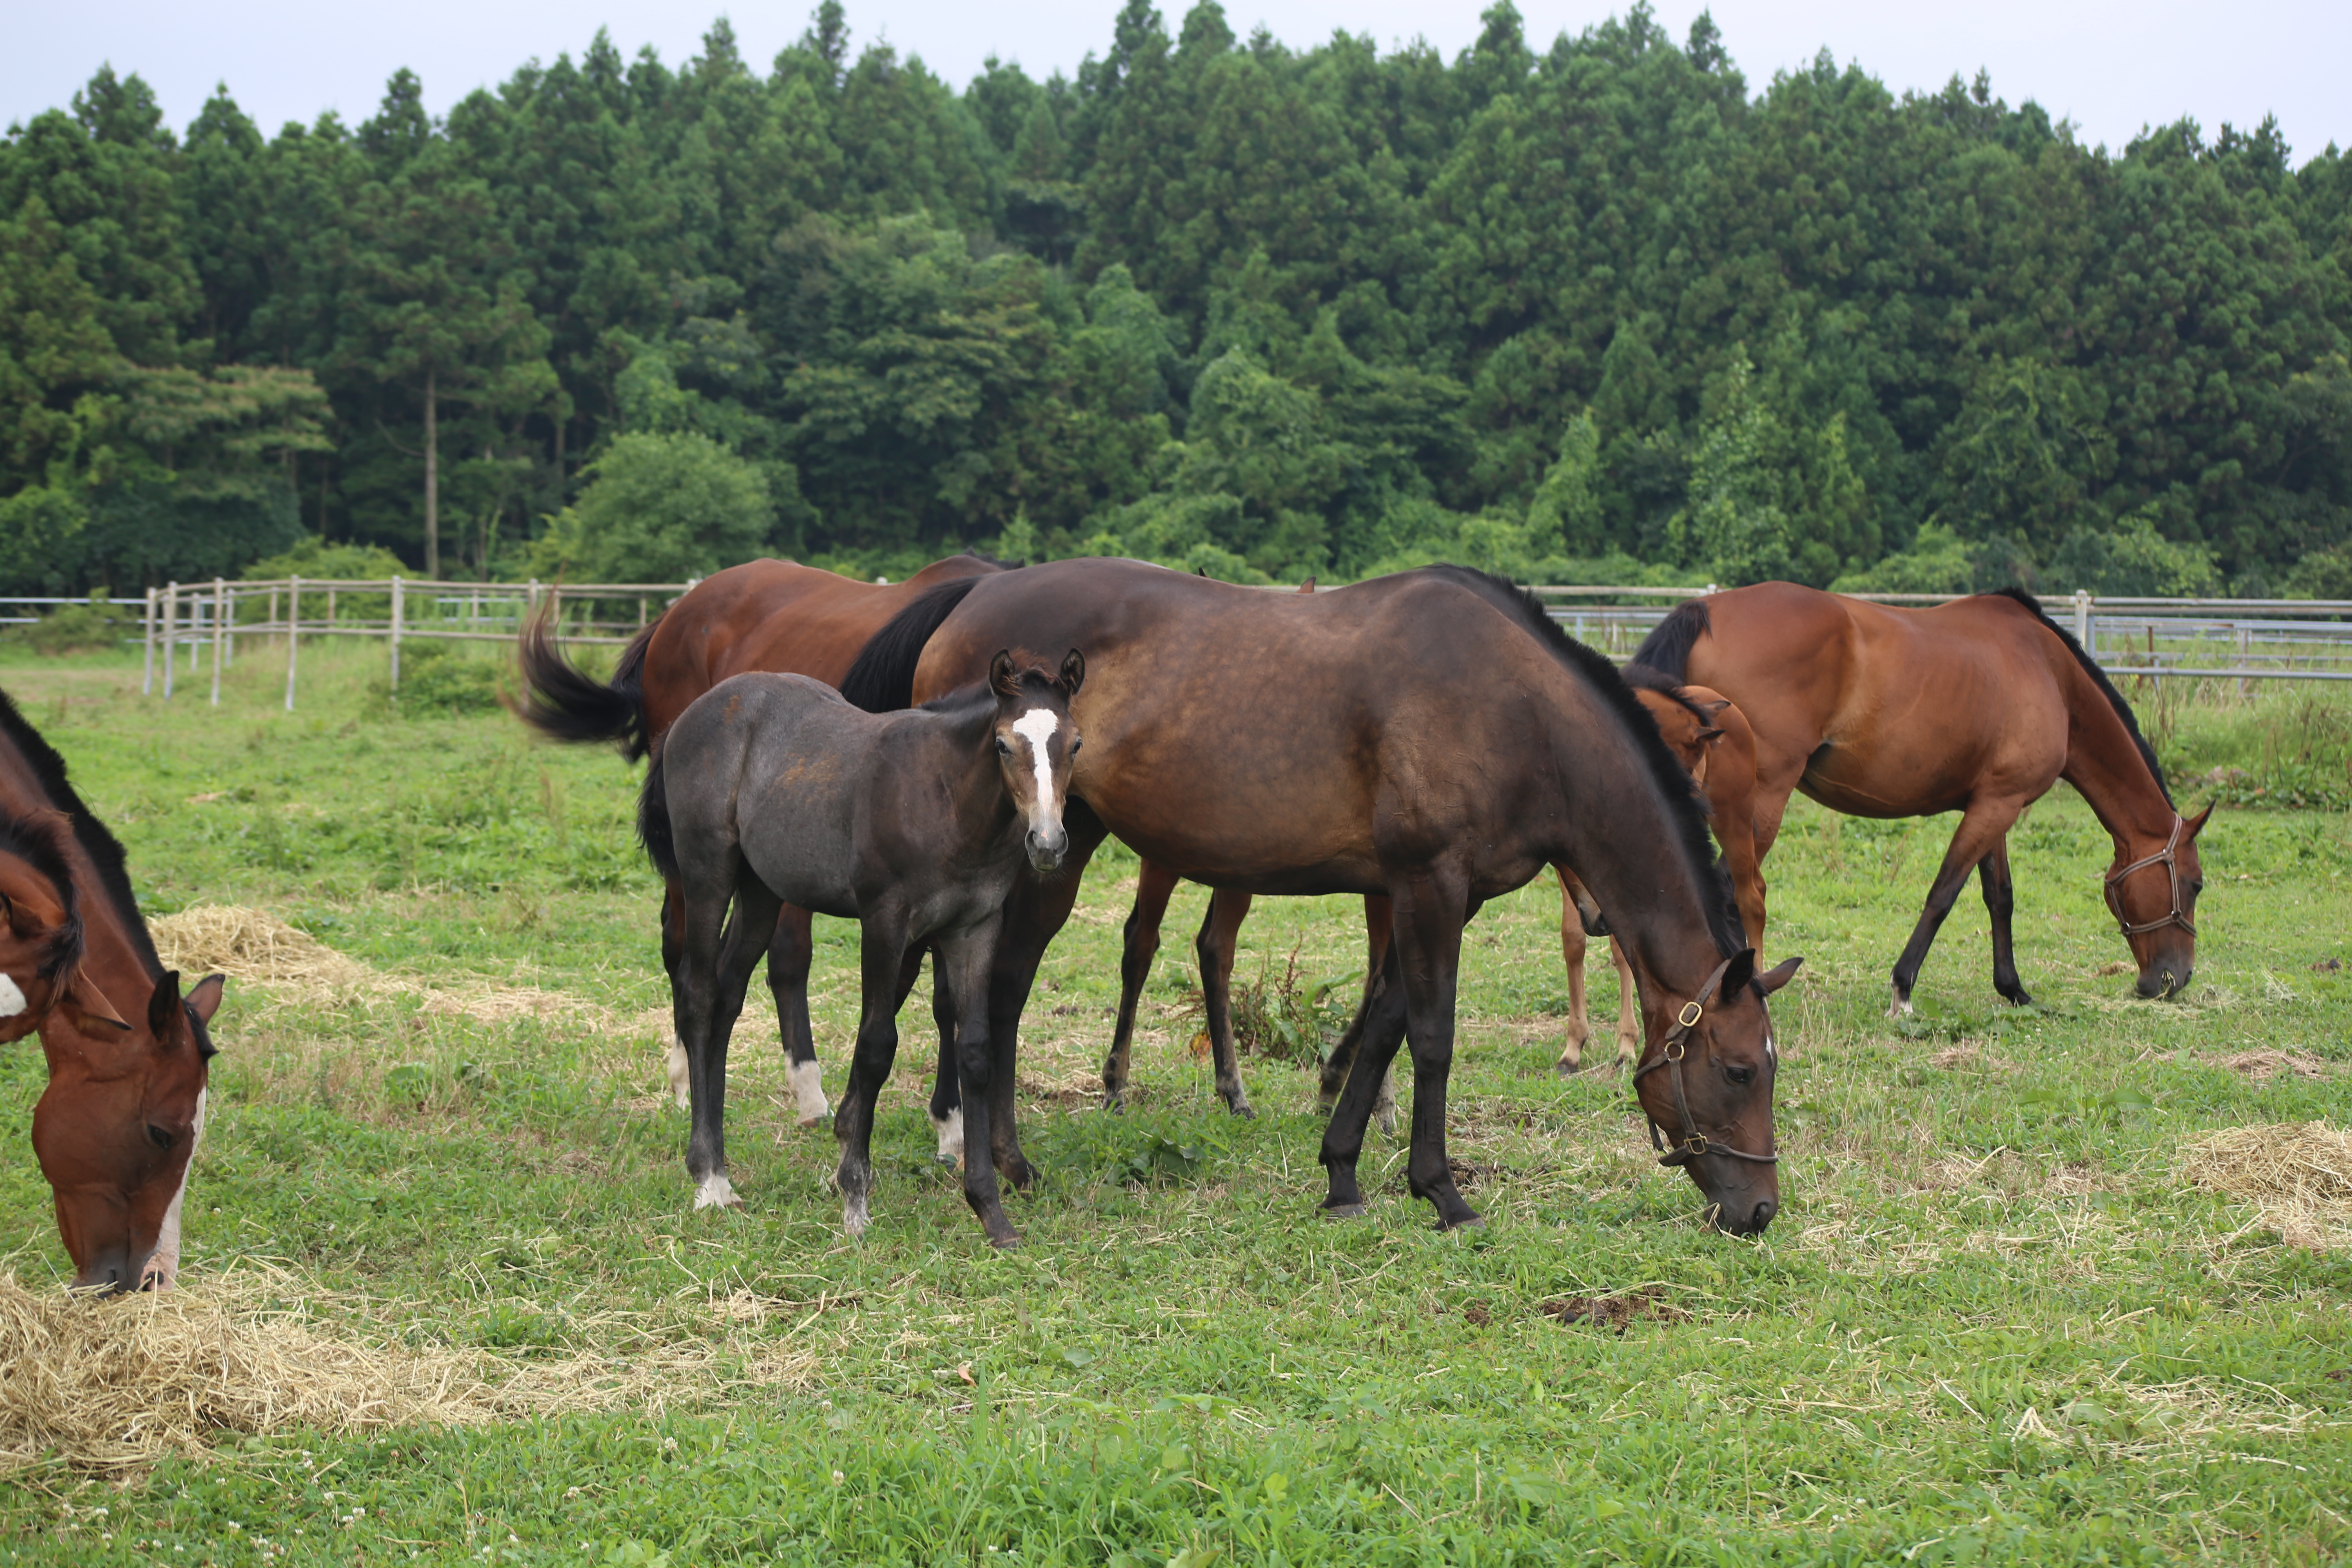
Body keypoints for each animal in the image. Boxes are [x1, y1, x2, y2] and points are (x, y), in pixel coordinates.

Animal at [644, 648, 1082, 1250]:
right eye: (1002, 745)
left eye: (1076, 744)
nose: (1047, 843)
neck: (946, 796)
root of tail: (689, 716)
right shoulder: (885, 922)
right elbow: (876, 1047)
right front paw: (854, 1198)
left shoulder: (974, 928)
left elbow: (975, 1051)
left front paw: (991, 1213)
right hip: (707, 870)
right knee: (698, 994)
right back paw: (708, 1177)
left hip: (762, 890)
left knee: (729, 994)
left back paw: (723, 1168)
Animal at [846, 557, 1797, 1232]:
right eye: (1740, 1070)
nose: (1758, 1211)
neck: (1516, 707)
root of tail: (974, 593)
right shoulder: (1430, 883)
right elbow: (1432, 1036)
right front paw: (1441, 1191)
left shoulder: (1439, 895)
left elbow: (1384, 1025)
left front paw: (1342, 1173)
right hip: (1048, 853)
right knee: (995, 994)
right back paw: (998, 1161)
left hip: (1058, 847)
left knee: (995, 993)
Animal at [1637, 583, 2201, 1011]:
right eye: (2195, 885)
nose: (2175, 979)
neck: (2049, 671)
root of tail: (1704, 611)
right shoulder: (1999, 804)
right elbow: (1943, 894)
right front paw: (1903, 988)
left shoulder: (1995, 801)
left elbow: (2000, 897)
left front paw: (2013, 989)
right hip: (1758, 803)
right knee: (1731, 889)